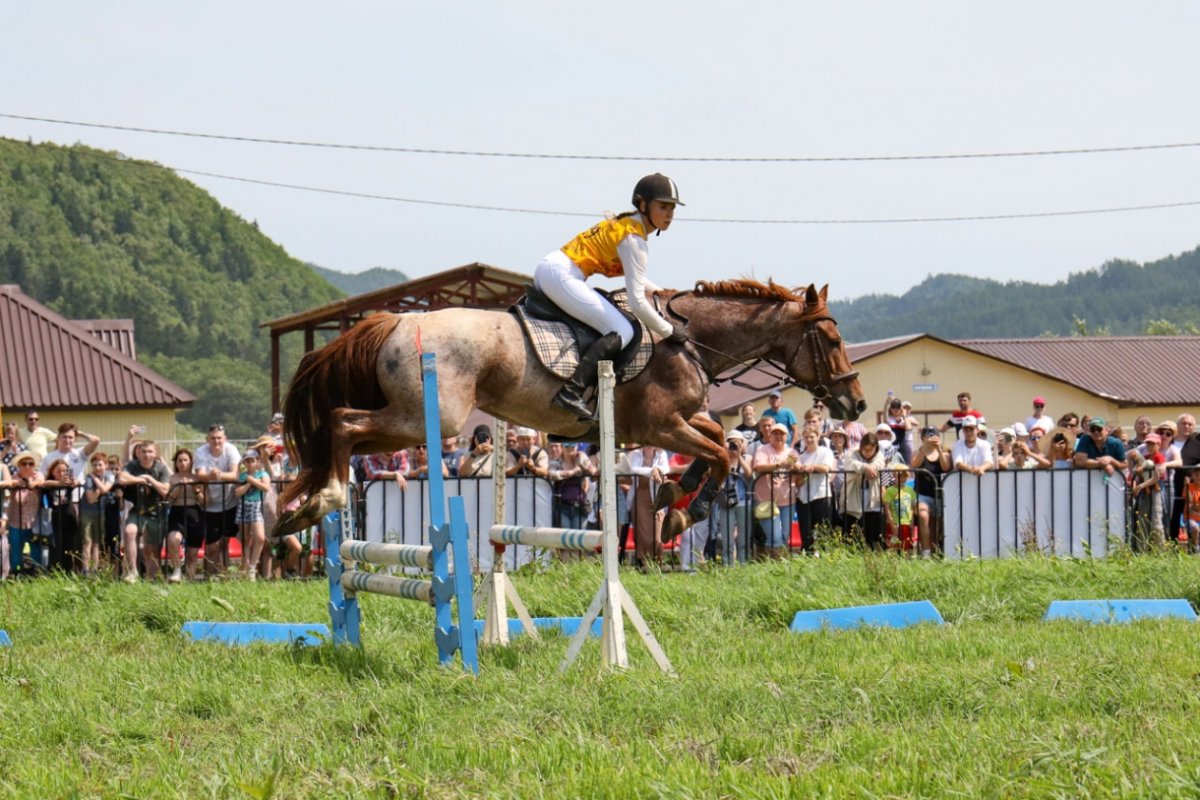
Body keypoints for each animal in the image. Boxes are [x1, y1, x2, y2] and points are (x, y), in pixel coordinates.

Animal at [276, 279, 866, 539]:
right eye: (832, 340)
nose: (856, 402)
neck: (687, 339)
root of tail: (394, 320)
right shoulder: (658, 425)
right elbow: (720, 454)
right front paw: (685, 510)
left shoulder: (676, 421)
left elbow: (723, 443)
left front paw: (673, 492)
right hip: (425, 418)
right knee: (341, 424)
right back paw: (320, 501)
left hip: (411, 421)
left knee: (343, 429)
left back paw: (303, 509)